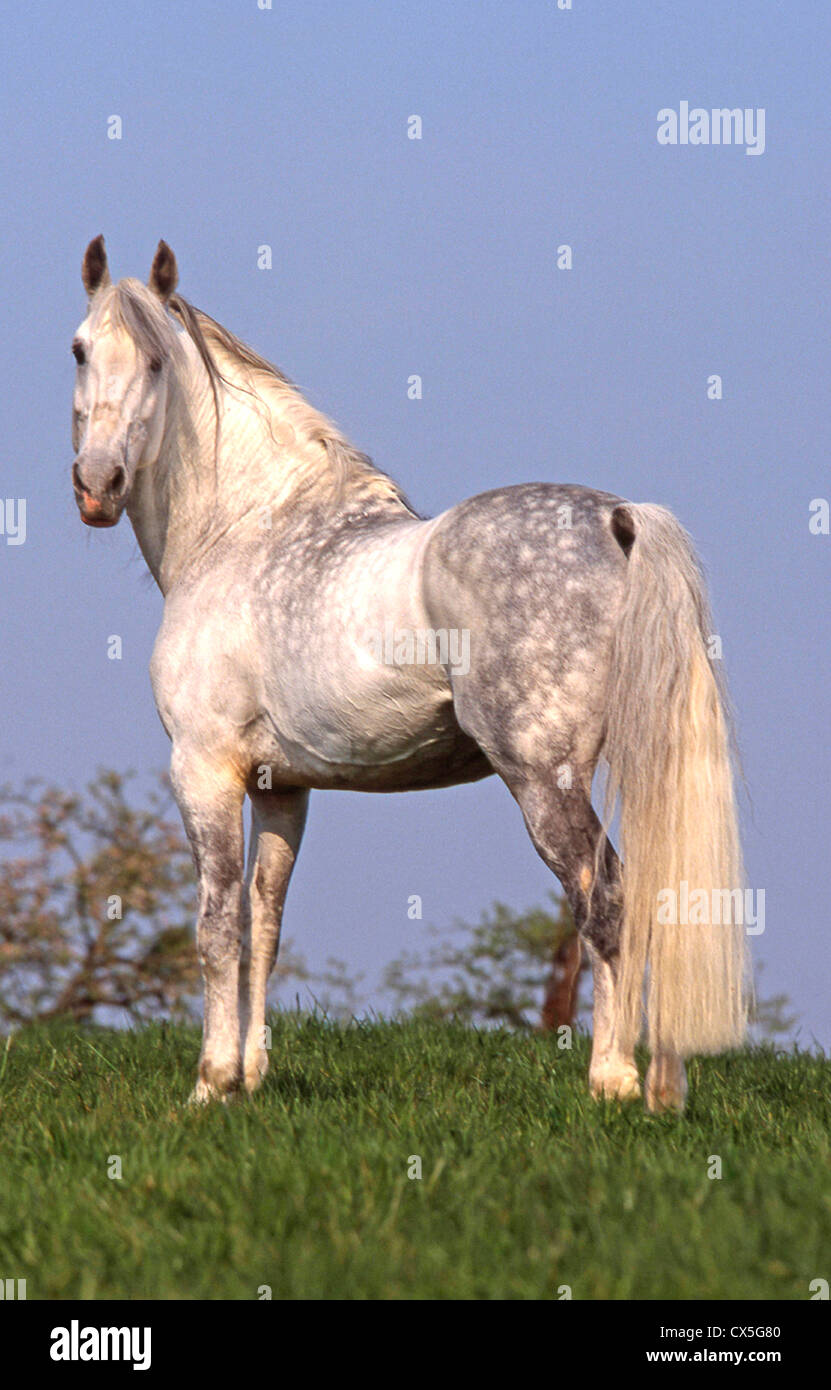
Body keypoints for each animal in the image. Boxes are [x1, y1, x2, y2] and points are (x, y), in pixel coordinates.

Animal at [69, 236, 750, 1112]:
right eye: (80, 350)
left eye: (155, 360)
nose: (97, 486)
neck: (243, 532)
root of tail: (617, 517)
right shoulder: (281, 789)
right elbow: (264, 923)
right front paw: (252, 1075)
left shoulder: (203, 771)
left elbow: (216, 925)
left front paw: (210, 1085)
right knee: (656, 898)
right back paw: (664, 1087)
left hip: (544, 778)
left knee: (606, 899)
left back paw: (612, 1080)